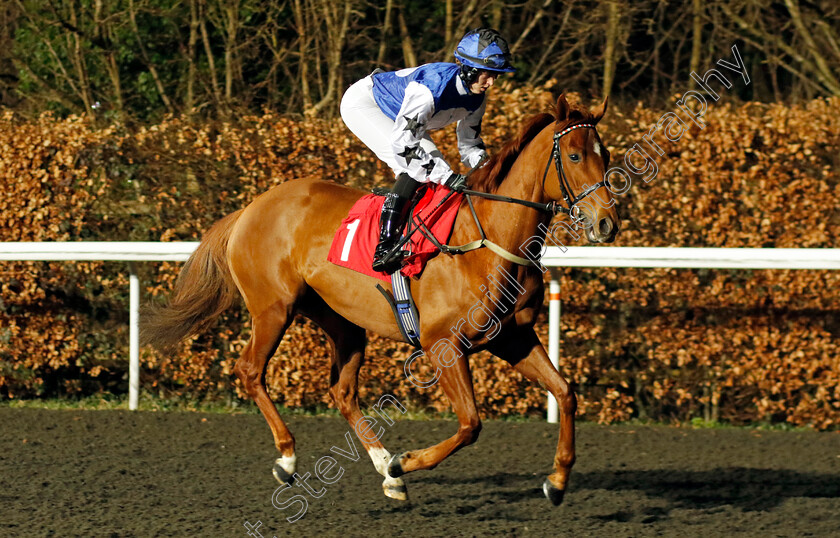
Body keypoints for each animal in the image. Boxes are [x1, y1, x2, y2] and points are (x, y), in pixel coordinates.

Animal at [143, 94, 616, 504]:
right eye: (575, 156)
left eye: (607, 154)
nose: (606, 223)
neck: (488, 241)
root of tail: (251, 207)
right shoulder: (442, 344)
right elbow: (470, 424)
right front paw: (405, 463)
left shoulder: (512, 337)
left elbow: (566, 393)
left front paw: (557, 481)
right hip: (273, 309)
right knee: (250, 371)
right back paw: (290, 457)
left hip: (342, 321)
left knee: (342, 391)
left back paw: (383, 466)